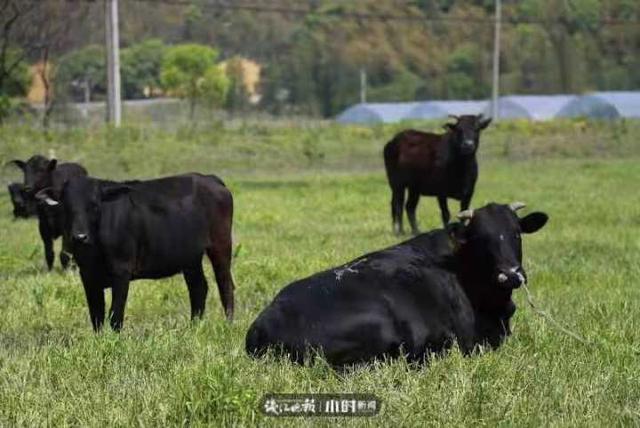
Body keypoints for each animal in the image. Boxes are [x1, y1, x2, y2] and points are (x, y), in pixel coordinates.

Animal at [36, 173, 235, 332]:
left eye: (94, 205)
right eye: (66, 206)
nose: (80, 237)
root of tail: (209, 178)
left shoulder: (121, 271)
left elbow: (115, 315)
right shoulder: (87, 275)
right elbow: (96, 315)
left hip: (221, 245)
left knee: (225, 284)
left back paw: (228, 324)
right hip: (190, 257)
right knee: (198, 287)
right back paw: (194, 326)